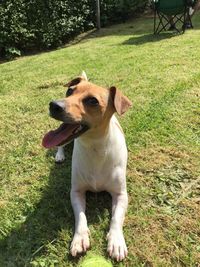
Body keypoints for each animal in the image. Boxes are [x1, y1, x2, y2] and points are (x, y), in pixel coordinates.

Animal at [42, 71, 131, 262]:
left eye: (92, 101)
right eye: (69, 91)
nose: (54, 105)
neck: (95, 148)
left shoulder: (121, 195)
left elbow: (116, 218)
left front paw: (116, 241)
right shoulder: (76, 192)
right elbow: (80, 216)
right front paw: (79, 238)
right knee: (60, 144)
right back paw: (60, 155)